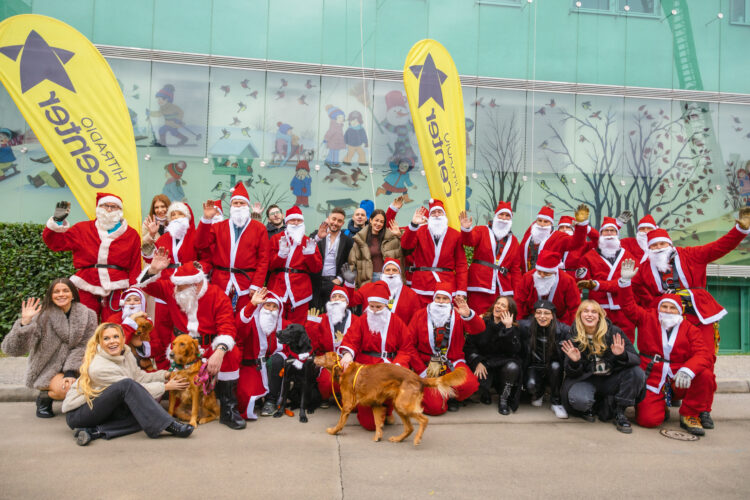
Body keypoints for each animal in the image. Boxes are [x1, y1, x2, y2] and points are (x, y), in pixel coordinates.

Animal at [314, 352, 468, 446]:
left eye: (324, 355)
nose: (314, 356)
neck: (343, 369)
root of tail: (419, 378)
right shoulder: (376, 404)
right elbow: (378, 423)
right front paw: (378, 437)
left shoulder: (347, 405)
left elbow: (340, 423)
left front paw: (333, 431)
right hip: (399, 405)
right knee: (410, 428)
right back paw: (397, 439)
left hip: (402, 405)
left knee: (424, 420)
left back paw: (417, 439)